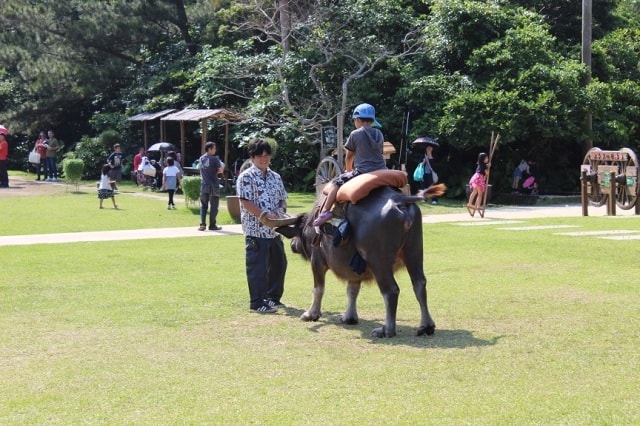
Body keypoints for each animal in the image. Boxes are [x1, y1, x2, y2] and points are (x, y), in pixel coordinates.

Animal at [274, 181, 444, 338]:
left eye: (297, 233)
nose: (292, 245)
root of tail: (400, 200)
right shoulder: (353, 268)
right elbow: (352, 290)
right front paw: (349, 317)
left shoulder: (318, 261)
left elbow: (318, 289)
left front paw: (311, 314)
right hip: (414, 251)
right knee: (419, 283)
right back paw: (426, 326)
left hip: (378, 262)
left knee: (391, 291)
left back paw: (386, 330)